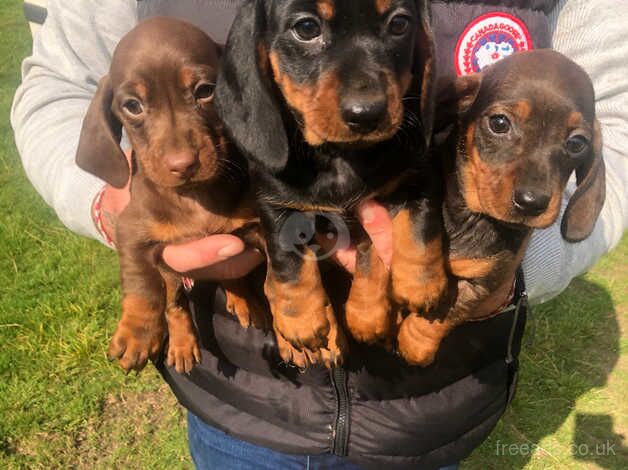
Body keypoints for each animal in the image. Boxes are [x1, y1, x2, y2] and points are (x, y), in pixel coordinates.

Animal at [216, 0, 446, 368]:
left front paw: (413, 288)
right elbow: (288, 261)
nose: (367, 114)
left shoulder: (417, 175)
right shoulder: (275, 203)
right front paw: (301, 318)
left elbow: (411, 229)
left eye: (399, 24)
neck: (340, 155)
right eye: (307, 28)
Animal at [394, 50, 604, 368]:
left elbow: (446, 312)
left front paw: (414, 342)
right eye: (500, 123)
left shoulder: (484, 283)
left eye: (577, 143)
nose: (532, 202)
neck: (473, 218)